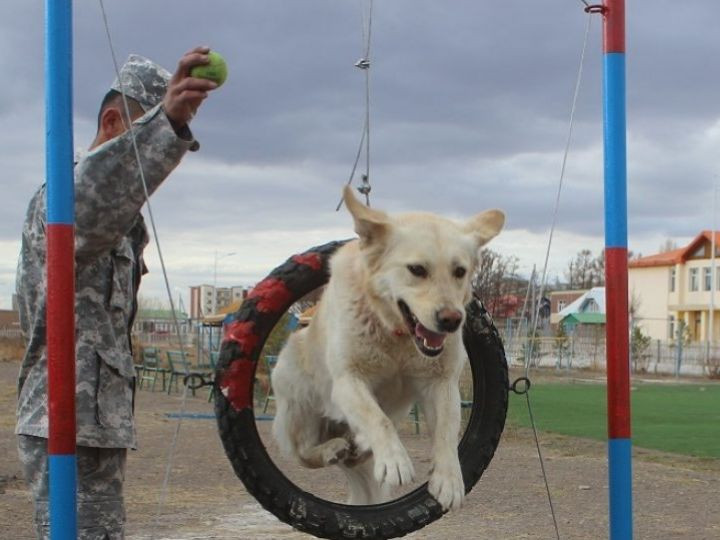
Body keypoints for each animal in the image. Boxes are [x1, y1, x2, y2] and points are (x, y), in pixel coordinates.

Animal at [272, 188, 504, 512]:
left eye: (460, 271)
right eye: (417, 270)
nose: (451, 320)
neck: (396, 335)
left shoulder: (441, 383)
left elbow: (446, 431)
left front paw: (449, 480)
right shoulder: (347, 380)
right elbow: (376, 418)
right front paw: (395, 461)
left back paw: (357, 446)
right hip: (295, 385)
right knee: (302, 452)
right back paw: (332, 448)